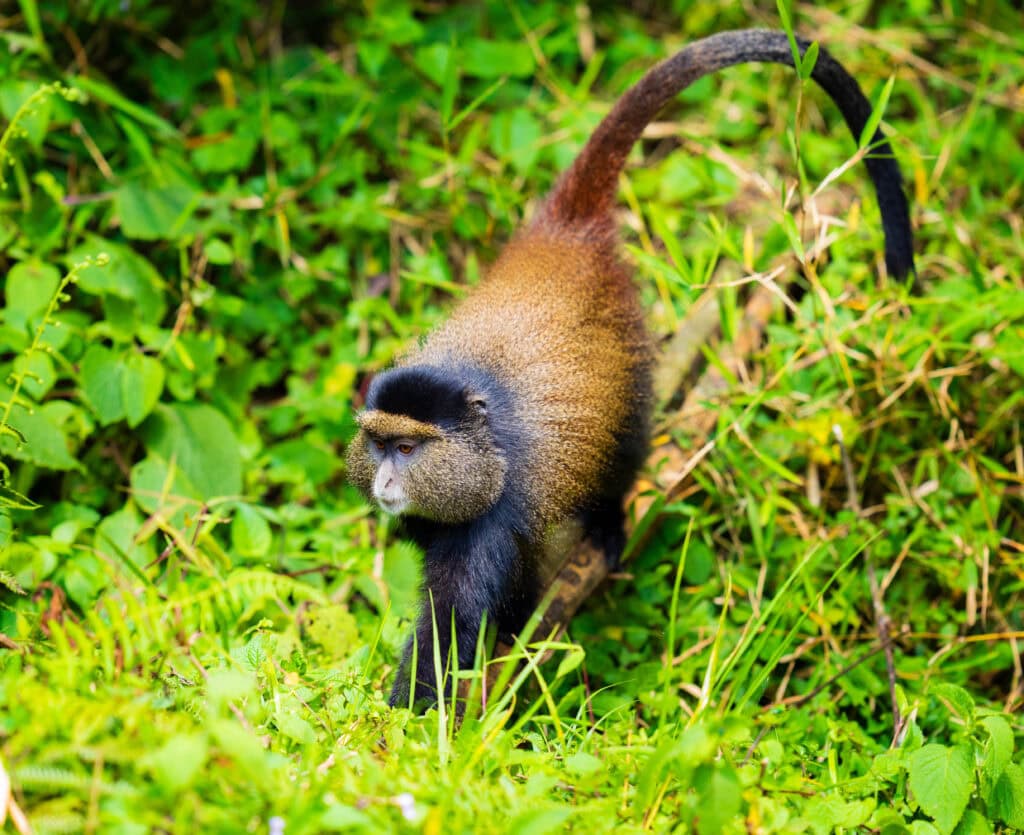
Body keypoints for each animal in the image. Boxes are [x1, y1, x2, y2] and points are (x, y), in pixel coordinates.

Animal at [345, 29, 916, 709]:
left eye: (408, 448)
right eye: (379, 446)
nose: (385, 482)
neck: (482, 442)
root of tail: (564, 229)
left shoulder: (492, 519)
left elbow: (453, 623)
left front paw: (404, 722)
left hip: (631, 361)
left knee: (624, 446)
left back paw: (610, 522)